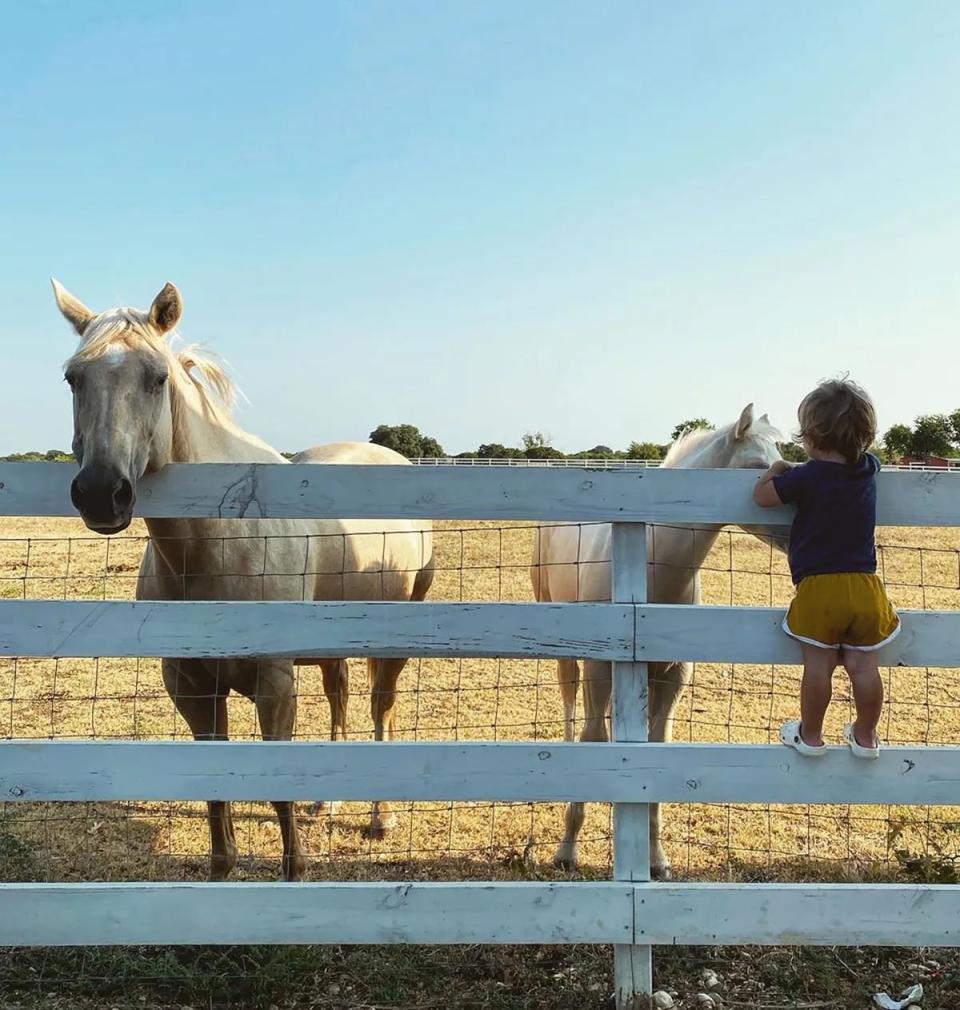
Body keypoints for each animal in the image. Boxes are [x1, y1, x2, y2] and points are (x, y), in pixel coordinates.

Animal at [54, 280, 438, 880]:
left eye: (157, 378)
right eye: (75, 376)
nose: (100, 493)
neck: (216, 544)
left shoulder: (274, 684)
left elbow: (276, 785)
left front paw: (295, 872)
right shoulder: (191, 687)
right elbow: (217, 789)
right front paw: (222, 869)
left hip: (395, 634)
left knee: (382, 707)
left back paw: (381, 817)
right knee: (340, 696)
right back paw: (325, 803)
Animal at [529, 406, 784, 880]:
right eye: (758, 465)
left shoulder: (670, 676)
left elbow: (654, 750)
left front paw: (656, 859)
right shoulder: (600, 666)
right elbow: (592, 738)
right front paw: (567, 850)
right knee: (572, 707)